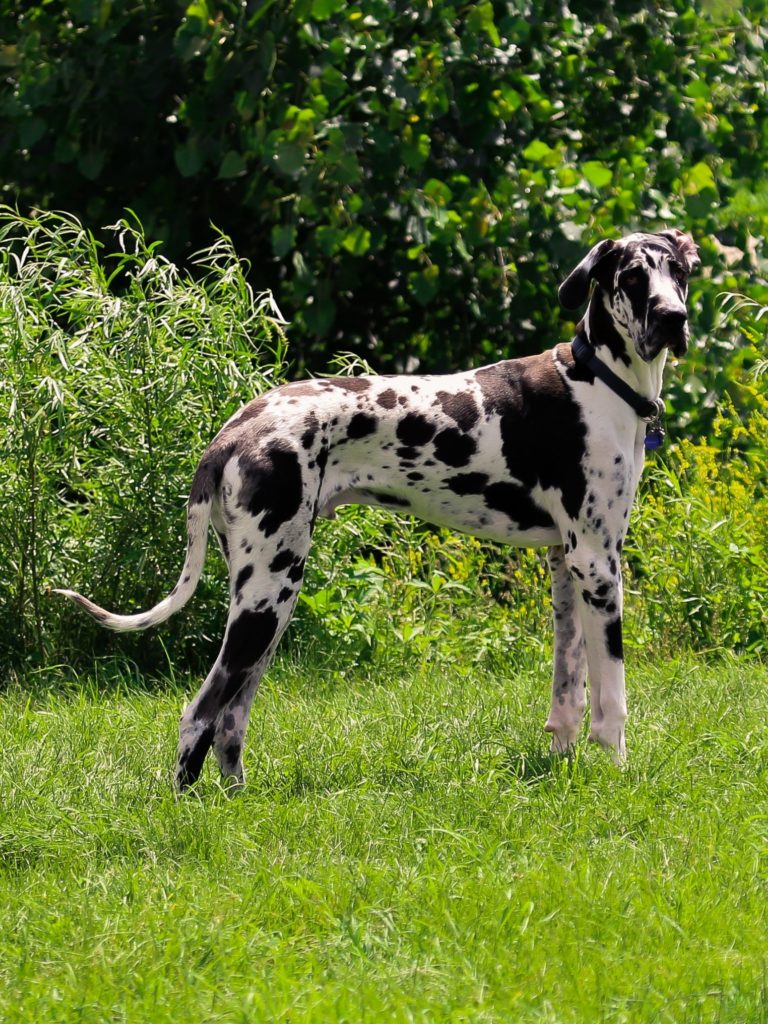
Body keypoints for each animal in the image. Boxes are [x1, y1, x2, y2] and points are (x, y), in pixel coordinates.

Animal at [57, 230, 700, 790]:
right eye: (632, 276)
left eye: (679, 271)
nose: (673, 318)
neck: (600, 381)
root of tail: (236, 428)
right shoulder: (598, 566)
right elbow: (612, 699)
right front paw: (616, 773)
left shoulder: (565, 569)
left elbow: (568, 693)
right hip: (268, 595)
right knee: (200, 714)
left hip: (268, 602)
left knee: (231, 722)